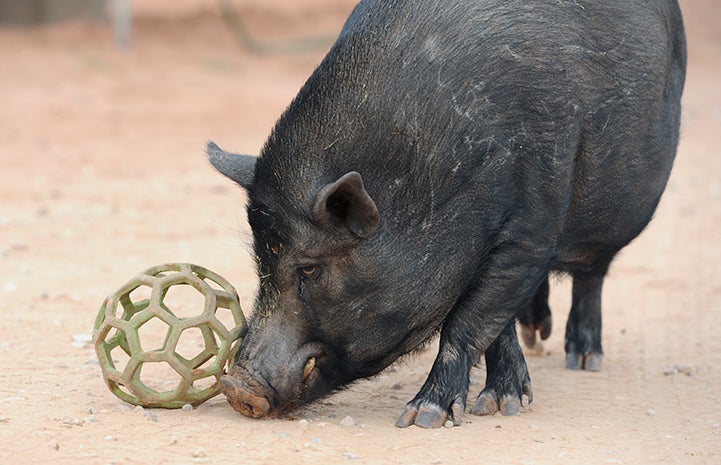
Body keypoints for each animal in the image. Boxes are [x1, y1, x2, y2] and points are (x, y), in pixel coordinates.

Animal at [210, 0, 688, 428]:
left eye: (309, 269)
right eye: (260, 260)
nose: (236, 388)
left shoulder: (530, 229)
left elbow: (470, 320)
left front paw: (424, 417)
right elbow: (496, 322)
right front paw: (503, 403)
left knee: (593, 273)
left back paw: (584, 359)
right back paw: (538, 336)